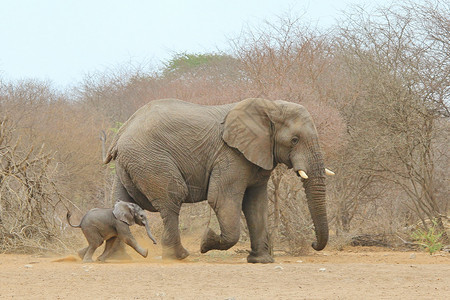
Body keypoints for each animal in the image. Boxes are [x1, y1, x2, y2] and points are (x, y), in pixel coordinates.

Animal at [103, 98, 332, 262]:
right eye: (294, 140)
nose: (313, 244)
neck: (269, 106)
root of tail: (121, 132)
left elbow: (256, 204)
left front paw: (261, 261)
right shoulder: (230, 155)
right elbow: (221, 199)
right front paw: (206, 241)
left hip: (130, 164)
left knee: (120, 202)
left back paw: (117, 258)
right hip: (151, 160)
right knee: (173, 198)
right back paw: (179, 256)